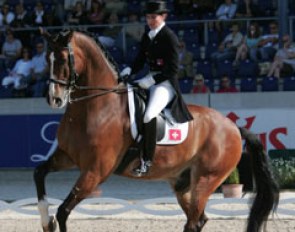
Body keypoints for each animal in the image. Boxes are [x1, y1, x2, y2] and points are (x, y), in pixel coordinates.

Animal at [33, 30, 278, 232]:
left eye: (63, 59)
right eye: (47, 60)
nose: (54, 99)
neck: (95, 107)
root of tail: (233, 126)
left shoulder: (94, 172)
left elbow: (63, 212)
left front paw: (52, 220)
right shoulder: (67, 157)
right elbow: (39, 173)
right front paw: (46, 222)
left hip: (206, 179)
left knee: (194, 221)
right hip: (182, 183)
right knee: (197, 220)